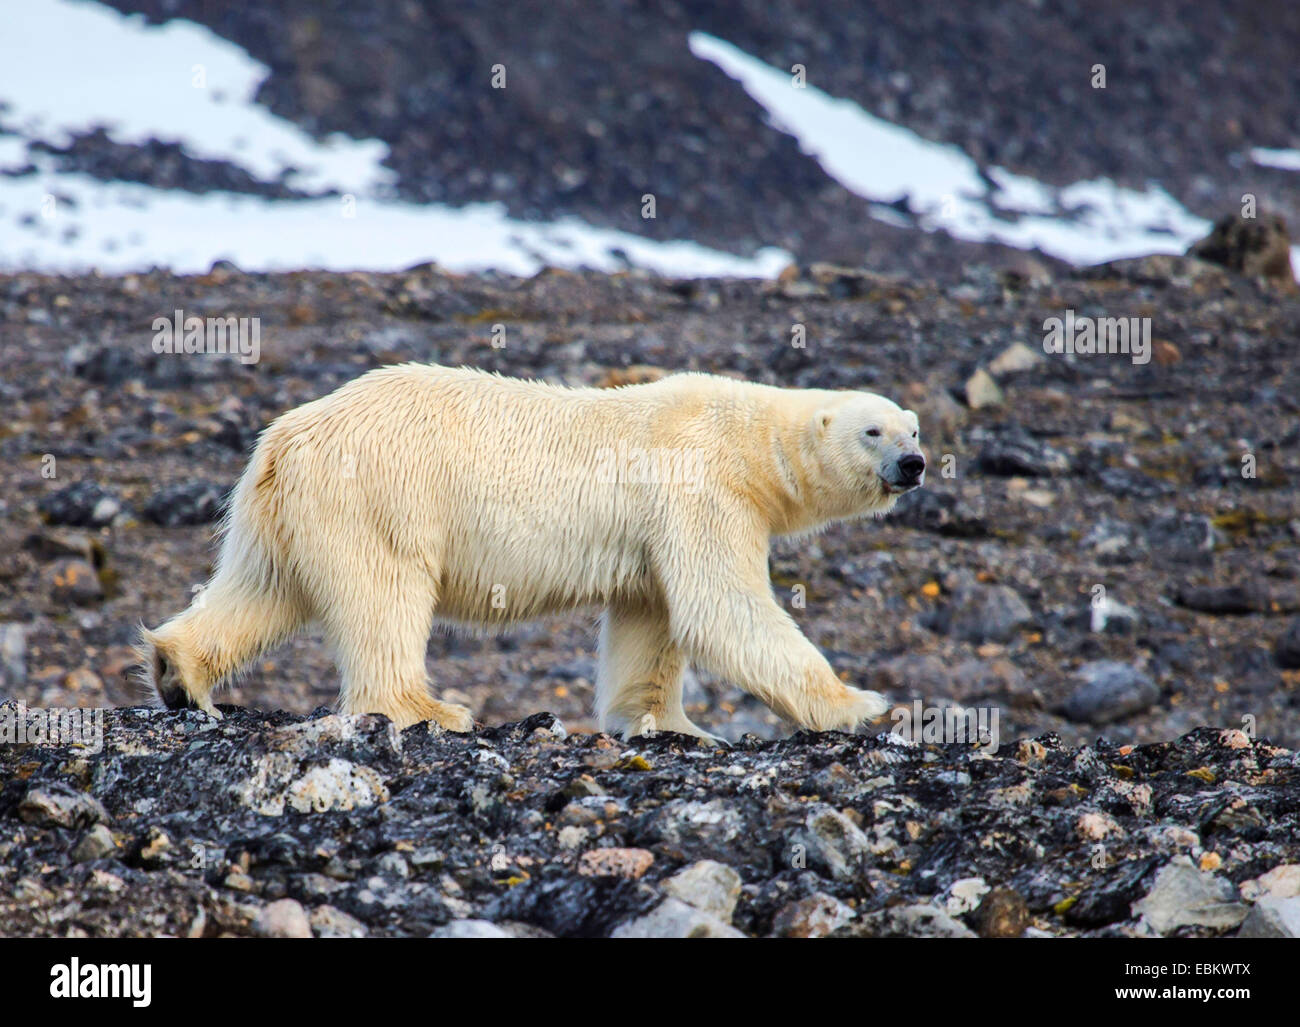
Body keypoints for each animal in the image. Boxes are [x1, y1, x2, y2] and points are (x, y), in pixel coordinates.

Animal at [142, 369, 925, 738]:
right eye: (873, 431)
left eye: (913, 427)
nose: (915, 464)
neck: (746, 433)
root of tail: (287, 435)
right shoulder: (701, 485)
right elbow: (723, 607)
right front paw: (859, 703)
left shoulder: (654, 531)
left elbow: (651, 620)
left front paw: (667, 723)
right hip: (380, 494)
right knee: (384, 596)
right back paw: (431, 708)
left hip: (284, 510)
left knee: (260, 588)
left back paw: (178, 672)